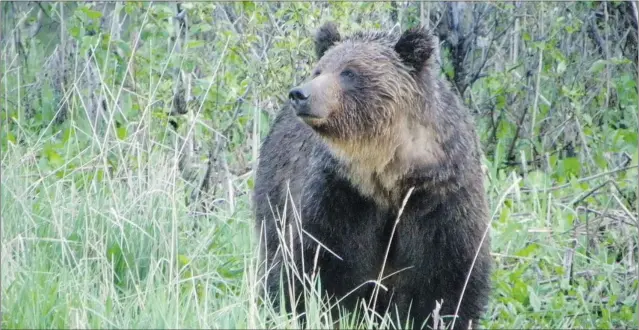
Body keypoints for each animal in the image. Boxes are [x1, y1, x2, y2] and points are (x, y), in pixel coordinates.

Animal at [252, 21, 492, 330]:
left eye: (349, 72)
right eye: (320, 69)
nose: (300, 94)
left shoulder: (440, 196)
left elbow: (448, 277)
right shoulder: (342, 194)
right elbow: (316, 260)